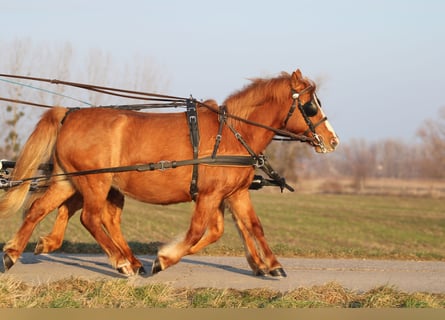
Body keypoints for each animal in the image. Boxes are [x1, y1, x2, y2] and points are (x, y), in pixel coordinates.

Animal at [0, 69, 336, 276]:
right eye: (310, 106)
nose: (332, 140)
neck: (232, 133)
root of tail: (69, 114)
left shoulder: (235, 193)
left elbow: (251, 226)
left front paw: (272, 265)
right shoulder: (210, 195)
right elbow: (202, 230)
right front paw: (164, 258)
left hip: (70, 180)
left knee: (39, 208)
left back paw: (14, 252)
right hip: (95, 182)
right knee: (91, 218)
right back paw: (123, 262)